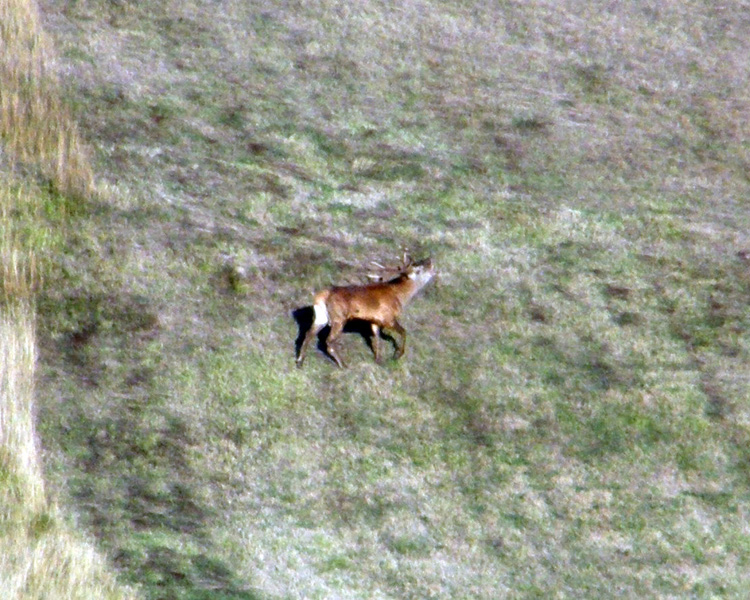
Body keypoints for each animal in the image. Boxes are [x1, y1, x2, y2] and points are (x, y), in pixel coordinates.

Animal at [296, 252, 438, 368]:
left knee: (308, 334)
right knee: (329, 341)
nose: (430, 260)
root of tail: (321, 296)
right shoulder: (388, 318)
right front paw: (397, 355)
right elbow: (403, 332)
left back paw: (300, 361)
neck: (400, 296)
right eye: (419, 268)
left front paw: (378, 359)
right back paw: (343, 365)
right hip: (339, 318)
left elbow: (376, 339)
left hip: (321, 317)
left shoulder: (374, 320)